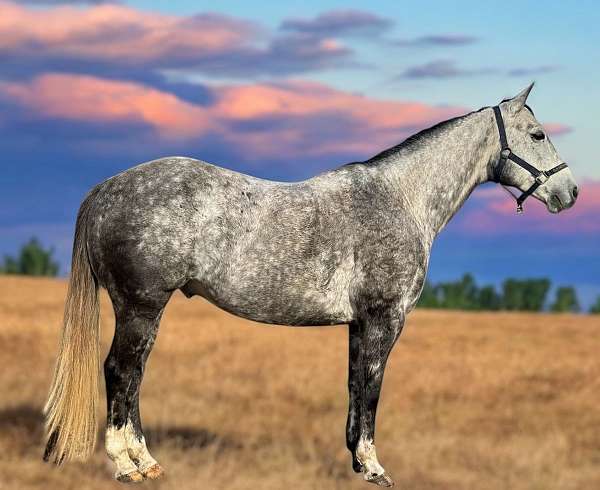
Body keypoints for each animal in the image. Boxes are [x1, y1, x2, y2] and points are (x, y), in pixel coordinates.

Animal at [42, 85, 576, 486]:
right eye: (537, 133)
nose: (569, 193)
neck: (401, 200)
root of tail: (106, 189)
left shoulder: (360, 324)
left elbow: (354, 385)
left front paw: (356, 461)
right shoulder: (385, 319)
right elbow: (372, 387)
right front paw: (375, 468)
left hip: (145, 311)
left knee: (134, 376)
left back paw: (147, 462)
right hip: (140, 306)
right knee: (120, 370)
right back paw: (127, 465)